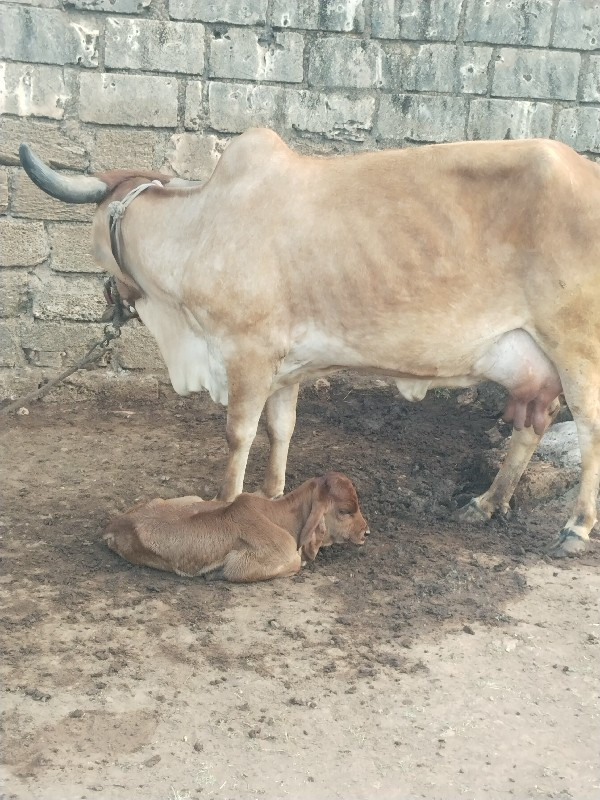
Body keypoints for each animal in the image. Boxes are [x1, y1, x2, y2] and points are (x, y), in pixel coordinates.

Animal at [19, 130, 600, 556]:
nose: (109, 295)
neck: (200, 227)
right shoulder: (286, 368)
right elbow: (281, 431)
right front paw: (272, 494)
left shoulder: (247, 354)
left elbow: (238, 436)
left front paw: (226, 503)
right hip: (536, 362)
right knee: (531, 427)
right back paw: (485, 504)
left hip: (577, 346)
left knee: (588, 428)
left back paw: (575, 528)